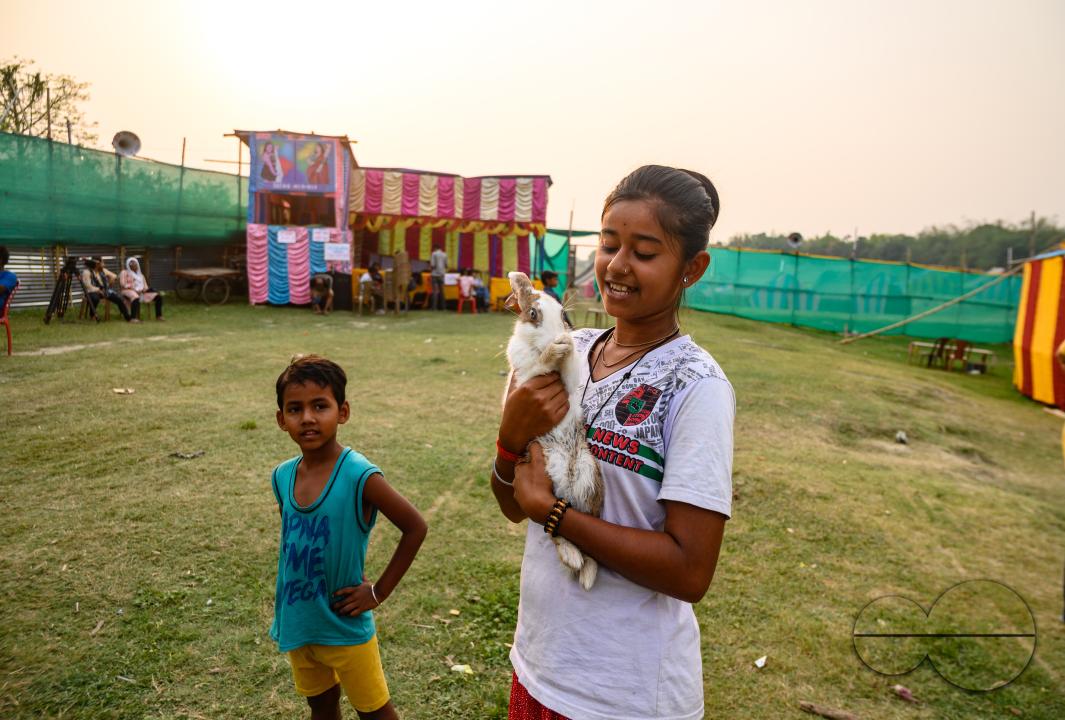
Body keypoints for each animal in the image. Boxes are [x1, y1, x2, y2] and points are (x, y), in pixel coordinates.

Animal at [504, 271, 604, 590]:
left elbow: (570, 368)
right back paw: (574, 560)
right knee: (557, 531)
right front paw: (554, 350)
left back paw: (586, 569)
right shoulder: (526, 373)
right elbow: (540, 364)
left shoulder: (571, 379)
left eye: (562, 315)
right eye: (533, 314)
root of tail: (569, 479)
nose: (556, 336)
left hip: (589, 476)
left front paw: (566, 345)